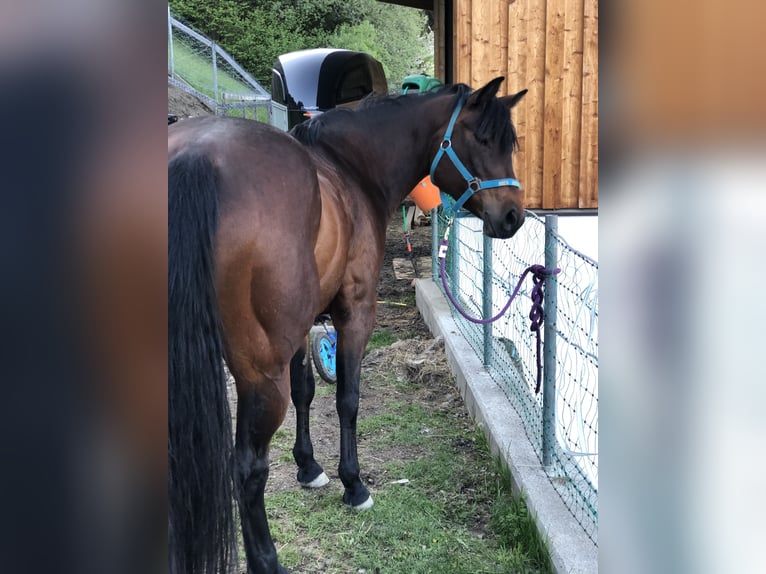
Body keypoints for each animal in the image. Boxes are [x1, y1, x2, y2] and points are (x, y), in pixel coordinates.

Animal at [168, 77, 528, 574]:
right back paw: (267, 560)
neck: (350, 169)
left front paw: (308, 467)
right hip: (260, 374)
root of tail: (195, 157)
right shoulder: (355, 312)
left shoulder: (302, 328)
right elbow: (347, 400)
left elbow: (305, 392)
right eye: (484, 139)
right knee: (248, 467)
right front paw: (353, 484)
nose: (514, 216)